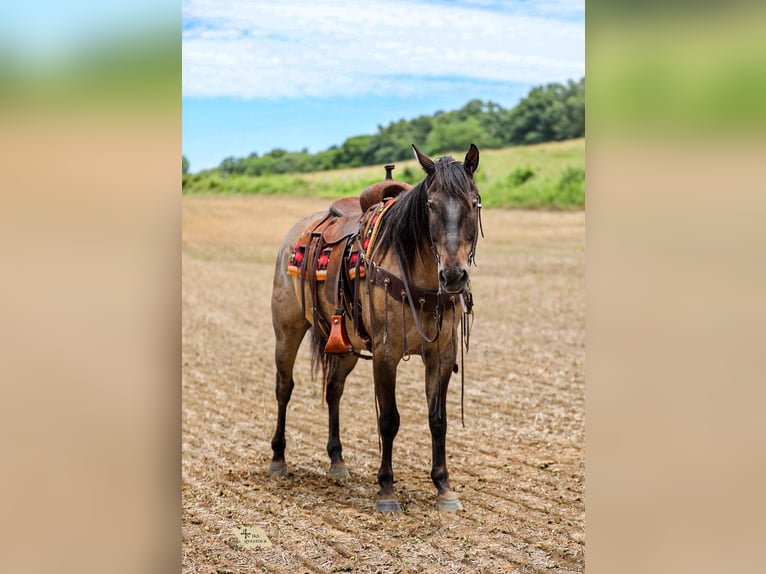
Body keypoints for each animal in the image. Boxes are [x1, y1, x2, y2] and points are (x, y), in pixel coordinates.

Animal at [269, 144, 482, 513]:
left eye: (473, 201)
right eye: (431, 205)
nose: (453, 276)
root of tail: (293, 237)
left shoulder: (441, 354)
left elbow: (437, 420)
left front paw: (444, 488)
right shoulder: (385, 354)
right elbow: (389, 420)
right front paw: (386, 491)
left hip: (347, 346)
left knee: (333, 389)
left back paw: (337, 461)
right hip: (287, 331)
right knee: (285, 387)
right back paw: (279, 459)